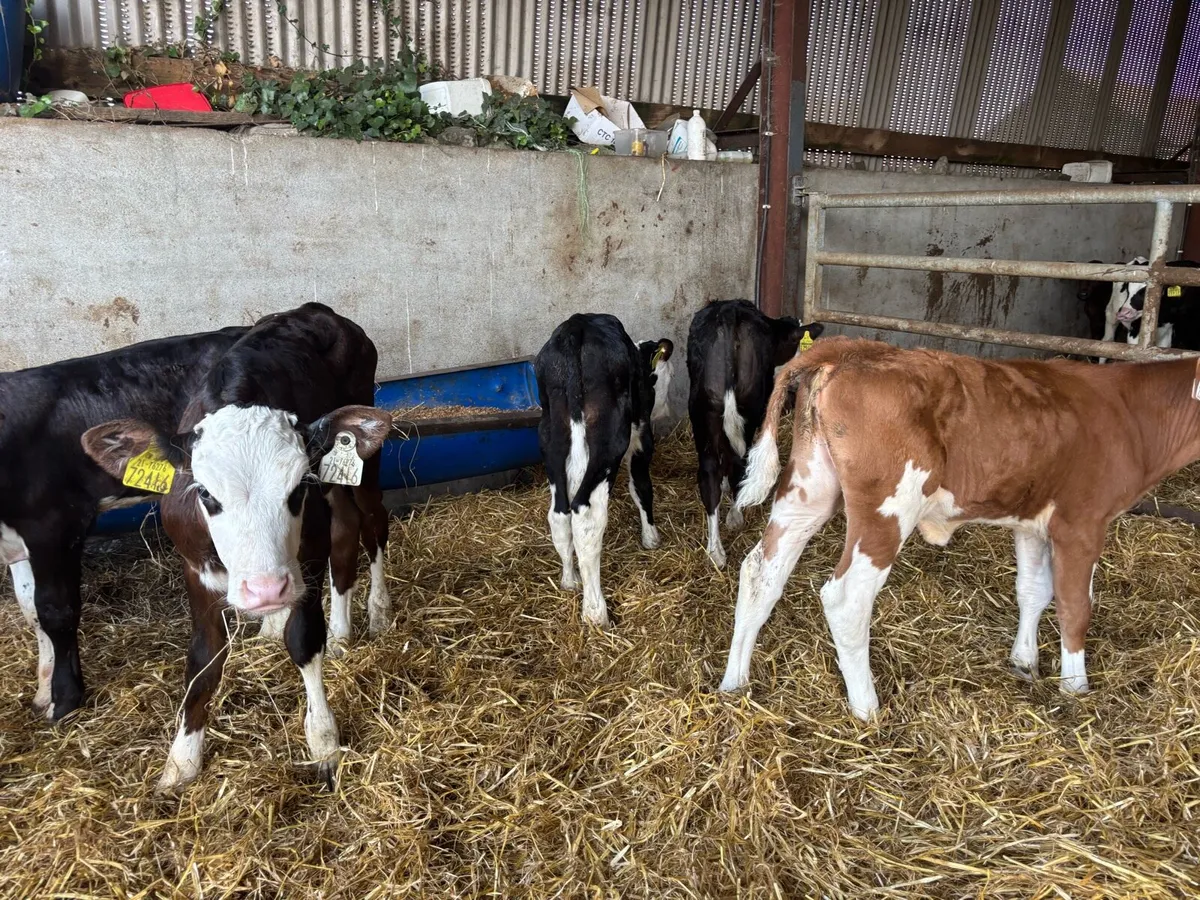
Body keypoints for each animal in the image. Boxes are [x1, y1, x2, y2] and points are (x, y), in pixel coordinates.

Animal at [81, 303, 393, 789]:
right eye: (206, 494)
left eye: (298, 488)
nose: (265, 591)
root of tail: (314, 309)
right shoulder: (195, 567)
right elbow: (203, 659)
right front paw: (181, 760)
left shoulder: (308, 551)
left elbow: (304, 640)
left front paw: (323, 740)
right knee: (346, 534)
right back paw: (330, 631)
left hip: (362, 462)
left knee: (370, 525)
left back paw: (375, 612)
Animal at [534, 313, 675, 628]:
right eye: (666, 376)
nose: (667, 411)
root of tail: (576, 327)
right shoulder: (641, 437)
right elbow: (642, 486)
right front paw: (651, 538)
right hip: (608, 442)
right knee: (586, 516)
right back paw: (595, 611)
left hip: (550, 436)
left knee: (559, 514)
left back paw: (570, 580)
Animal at [686, 299, 824, 568]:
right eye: (795, 346)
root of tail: (729, 311)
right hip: (748, 413)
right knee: (740, 463)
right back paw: (735, 516)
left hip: (703, 413)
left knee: (709, 474)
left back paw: (715, 552)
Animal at [718, 336, 1200, 720]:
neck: (1130, 414)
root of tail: (855, 349)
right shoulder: (1081, 524)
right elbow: (1074, 606)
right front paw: (1075, 687)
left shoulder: (1030, 522)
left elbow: (1033, 590)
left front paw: (1024, 662)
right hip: (887, 508)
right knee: (847, 598)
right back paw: (868, 708)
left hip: (809, 489)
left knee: (760, 574)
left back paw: (735, 681)